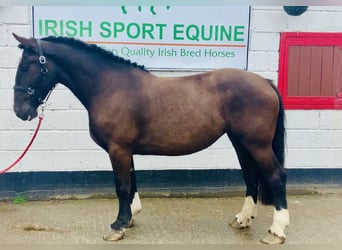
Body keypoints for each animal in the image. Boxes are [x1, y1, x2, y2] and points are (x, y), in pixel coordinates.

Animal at [11, 33, 288, 244]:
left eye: (25, 67)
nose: (20, 111)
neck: (108, 86)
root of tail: (264, 82)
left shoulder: (118, 149)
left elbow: (122, 185)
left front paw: (118, 226)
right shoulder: (125, 150)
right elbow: (131, 181)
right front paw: (130, 217)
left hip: (257, 144)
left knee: (276, 176)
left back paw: (276, 231)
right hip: (240, 142)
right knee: (251, 175)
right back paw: (243, 219)